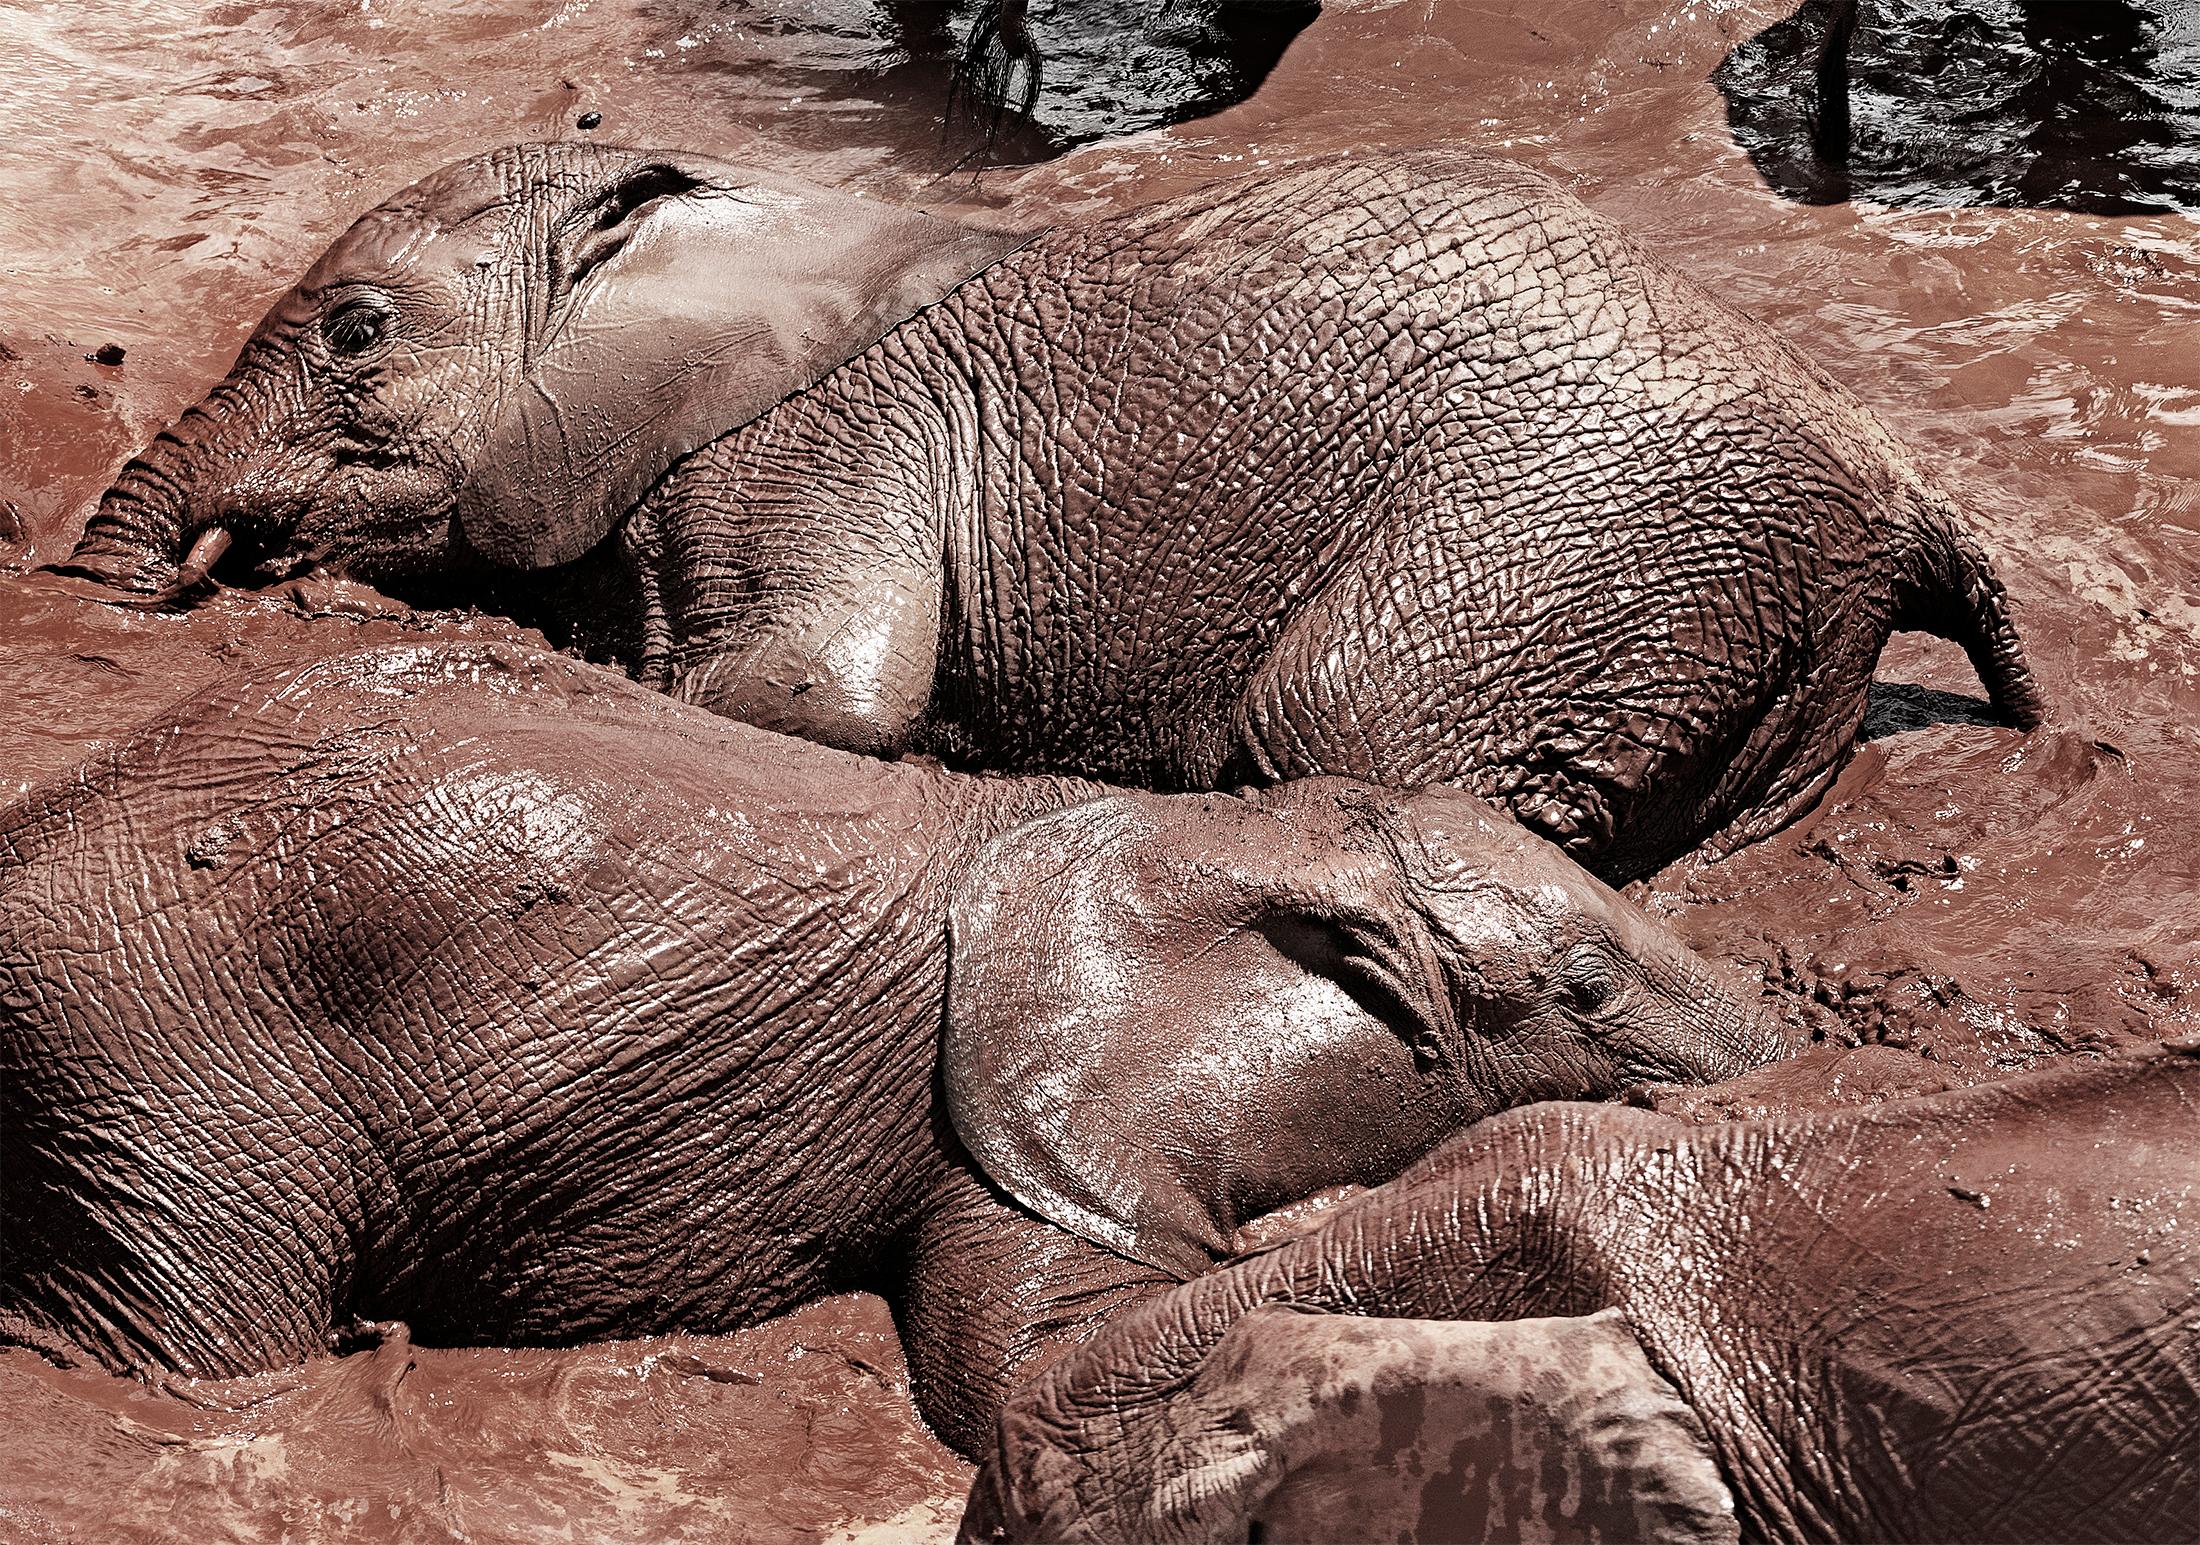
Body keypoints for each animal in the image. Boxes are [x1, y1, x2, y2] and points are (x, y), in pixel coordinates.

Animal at [0, 638, 1777, 1452]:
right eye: (1584, 990)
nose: (1784, 1077)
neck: (1221, 830)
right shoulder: (1015, 1118)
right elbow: (1029, 1384)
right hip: (162, 1048)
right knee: (205, 1343)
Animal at [51, 148, 2041, 897]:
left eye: (356, 332)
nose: (148, 584)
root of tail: (1903, 492)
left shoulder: (822, 441)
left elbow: (833, 695)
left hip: (1569, 536)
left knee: (1353, 730)